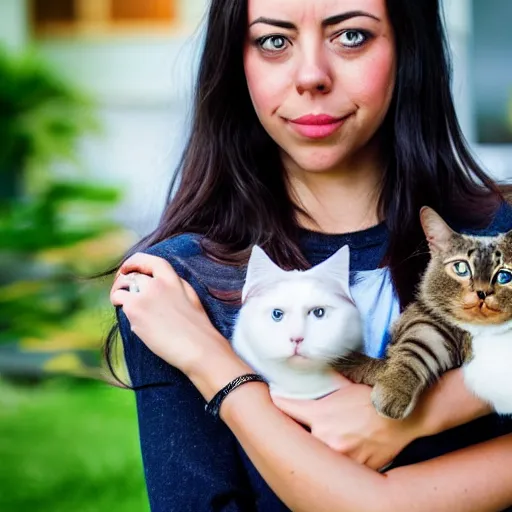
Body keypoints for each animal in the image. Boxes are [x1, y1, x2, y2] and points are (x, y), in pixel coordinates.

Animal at [334, 207, 512, 420]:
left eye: (504, 275)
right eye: (461, 268)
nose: (483, 292)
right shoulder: (429, 324)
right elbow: (418, 349)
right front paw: (394, 390)